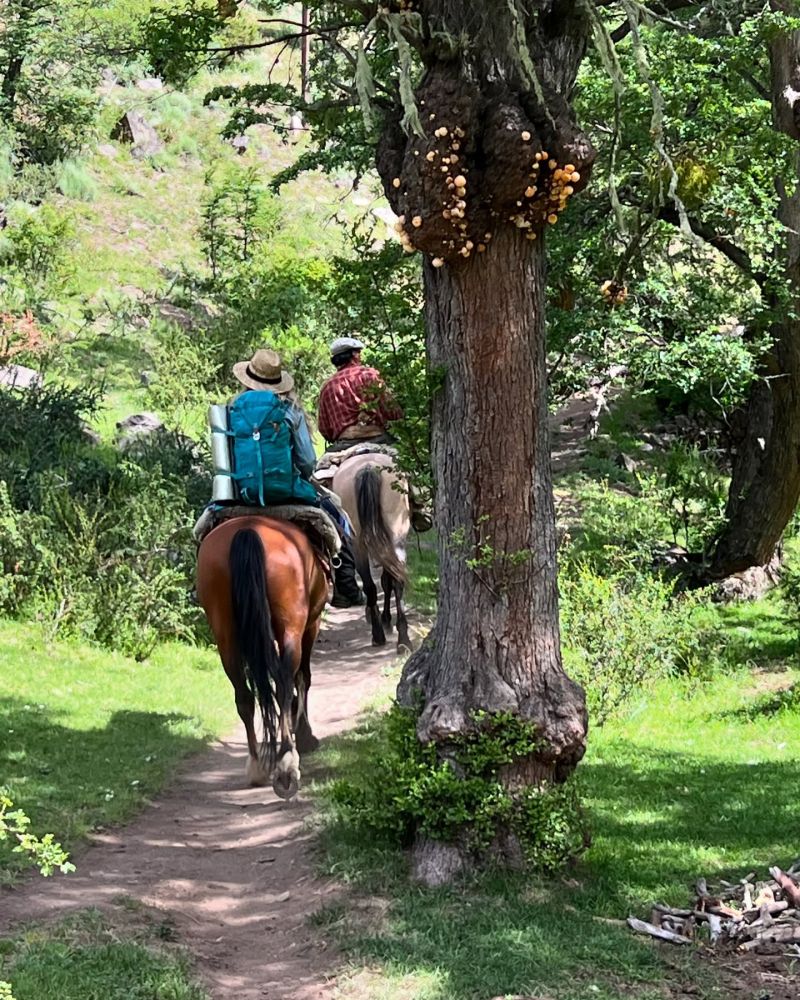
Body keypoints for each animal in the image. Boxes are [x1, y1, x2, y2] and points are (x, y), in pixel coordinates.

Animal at [196, 515, 329, 799]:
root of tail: (248, 529)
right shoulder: (311, 624)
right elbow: (303, 677)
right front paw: (305, 735)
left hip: (225, 632)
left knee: (244, 696)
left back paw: (257, 765)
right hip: (291, 625)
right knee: (284, 684)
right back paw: (287, 764)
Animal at [332, 452, 411, 650]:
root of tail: (368, 467)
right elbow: (386, 581)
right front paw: (386, 619)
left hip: (361, 542)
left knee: (372, 584)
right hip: (393, 536)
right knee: (391, 582)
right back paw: (399, 638)